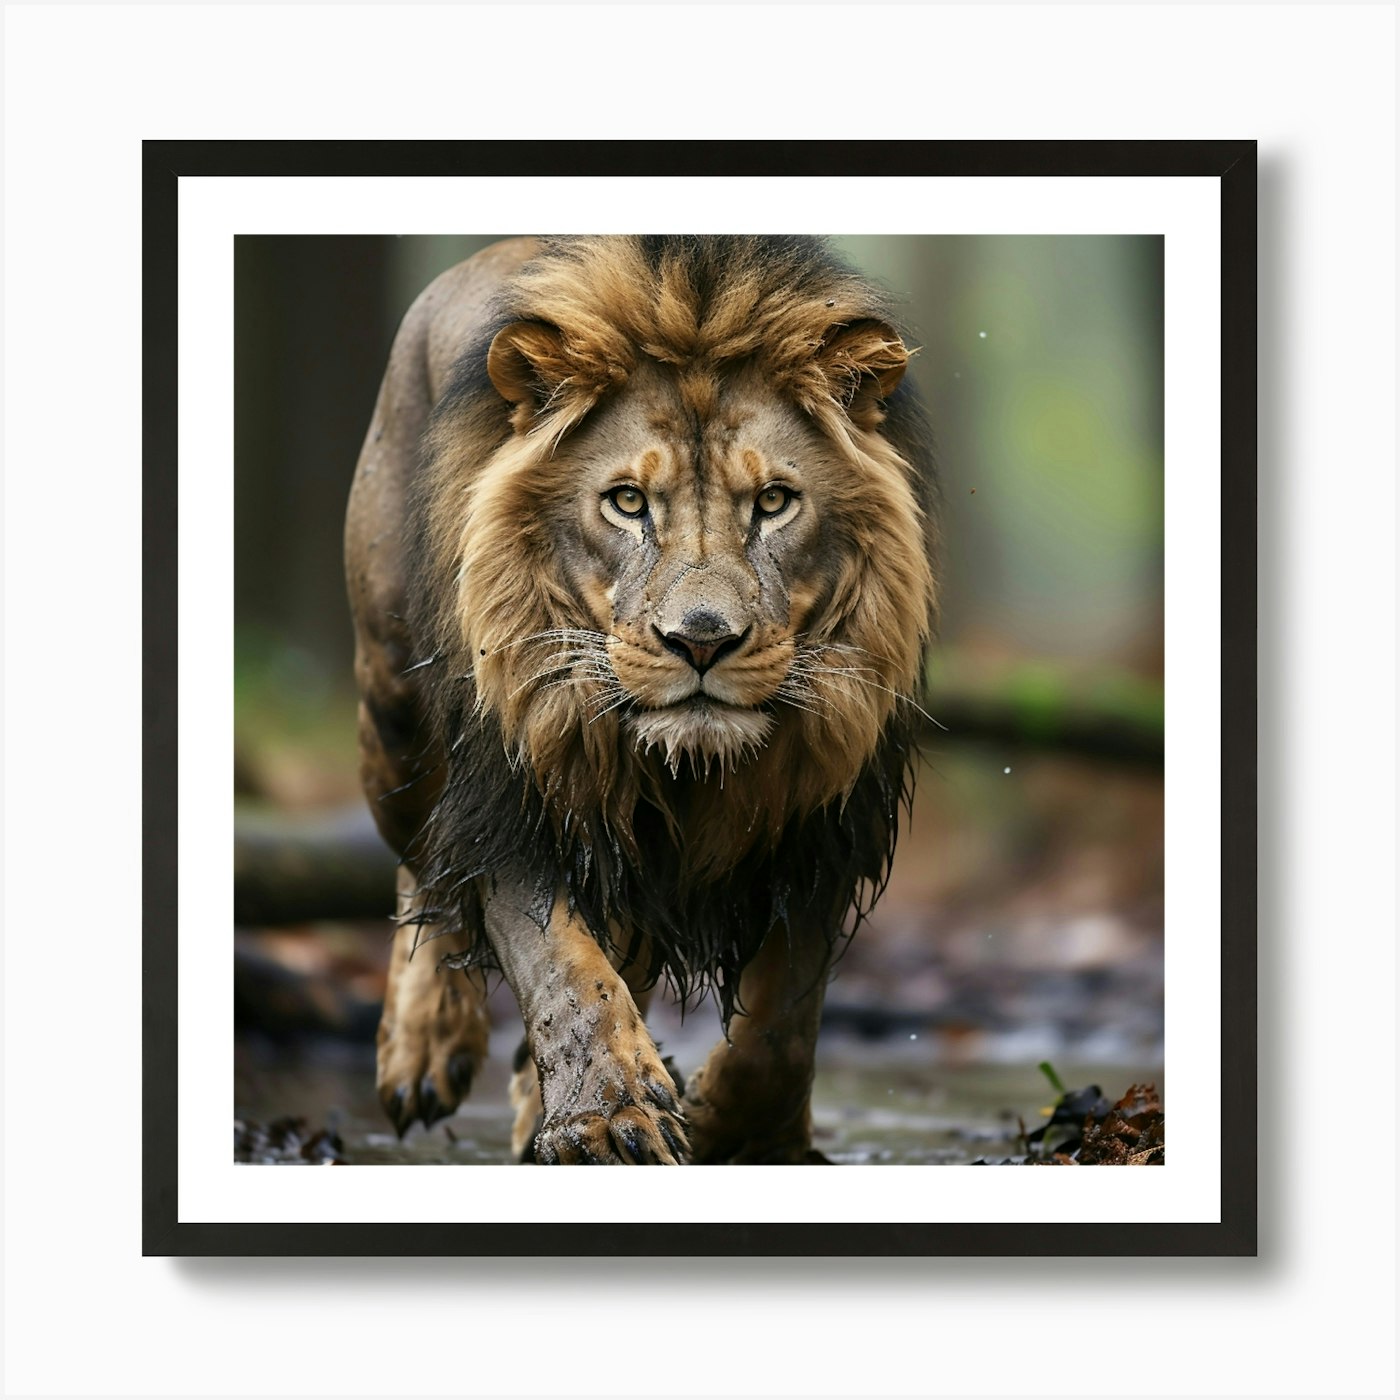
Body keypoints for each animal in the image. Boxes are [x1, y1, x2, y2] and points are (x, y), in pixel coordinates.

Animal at [345, 236, 937, 1164]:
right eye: (627, 502)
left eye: (775, 502)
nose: (700, 640)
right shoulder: (516, 787)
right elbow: (559, 964)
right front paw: (607, 1116)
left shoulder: (823, 815)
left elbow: (783, 1016)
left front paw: (737, 1129)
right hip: (393, 712)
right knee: (427, 869)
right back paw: (425, 1052)